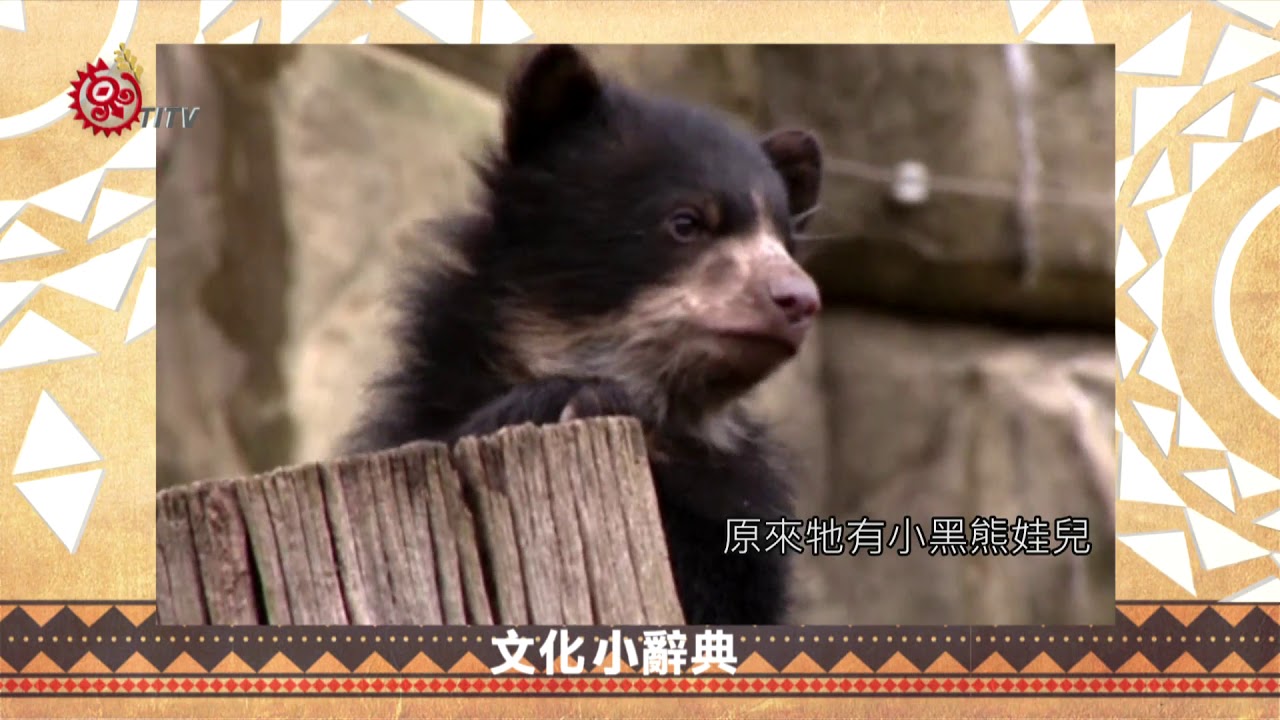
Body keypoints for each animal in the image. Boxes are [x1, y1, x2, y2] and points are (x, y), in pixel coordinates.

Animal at [344, 45, 823, 626]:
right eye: (686, 222)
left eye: (785, 242)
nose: (798, 299)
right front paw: (564, 399)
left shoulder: (738, 499)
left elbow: (730, 587)